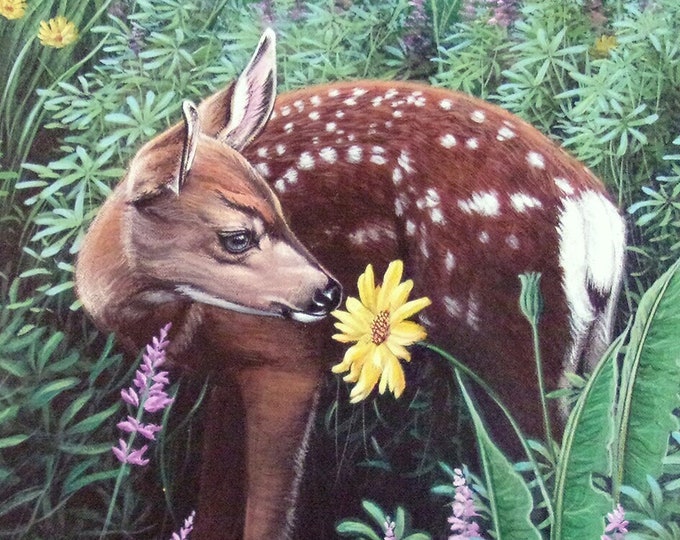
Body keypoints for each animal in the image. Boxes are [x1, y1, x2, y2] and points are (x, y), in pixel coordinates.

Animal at [75, 29, 626, 539]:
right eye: (237, 237)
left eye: (281, 212)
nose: (330, 292)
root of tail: (595, 217)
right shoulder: (230, 374)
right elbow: (216, 504)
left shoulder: (285, 357)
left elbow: (269, 509)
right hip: (588, 350)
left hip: (508, 347)